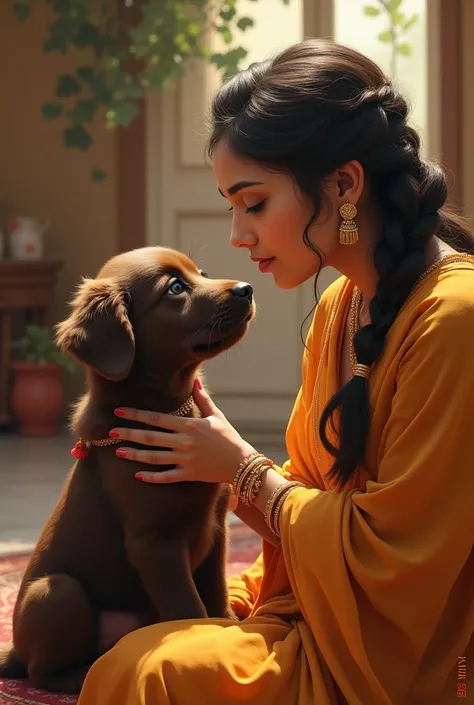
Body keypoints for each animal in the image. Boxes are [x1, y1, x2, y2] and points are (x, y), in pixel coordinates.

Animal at [0, 246, 256, 692]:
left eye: (201, 273)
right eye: (175, 288)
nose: (246, 288)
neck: (171, 412)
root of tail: (14, 650)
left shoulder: (217, 528)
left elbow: (215, 593)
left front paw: (226, 626)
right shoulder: (154, 543)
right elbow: (188, 607)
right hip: (56, 592)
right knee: (42, 672)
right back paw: (87, 674)